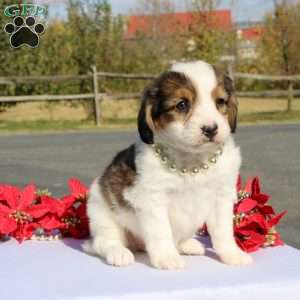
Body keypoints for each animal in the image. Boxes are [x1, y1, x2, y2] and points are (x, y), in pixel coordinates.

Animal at [84, 60, 253, 270]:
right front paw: (167, 257)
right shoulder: (152, 198)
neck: (192, 161)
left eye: (220, 102)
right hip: (101, 212)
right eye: (182, 105)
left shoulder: (221, 196)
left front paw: (233, 254)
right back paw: (119, 253)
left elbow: (223, 232)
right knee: (104, 242)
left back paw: (188, 245)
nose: (211, 129)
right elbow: (161, 231)